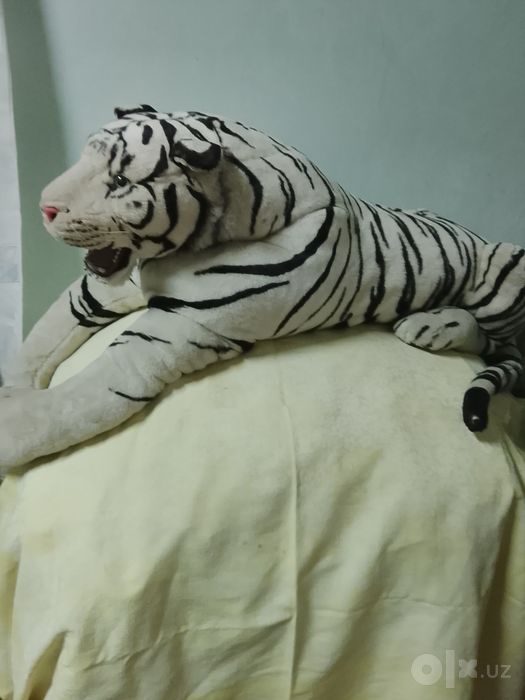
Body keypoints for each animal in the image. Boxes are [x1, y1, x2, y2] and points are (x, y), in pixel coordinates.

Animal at [1, 104, 524, 473]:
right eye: (83, 156)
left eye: (120, 179)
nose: (43, 207)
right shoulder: (109, 288)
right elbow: (39, 341)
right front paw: (13, 386)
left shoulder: (170, 332)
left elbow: (69, 404)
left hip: (507, 266)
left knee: (500, 344)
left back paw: (432, 328)